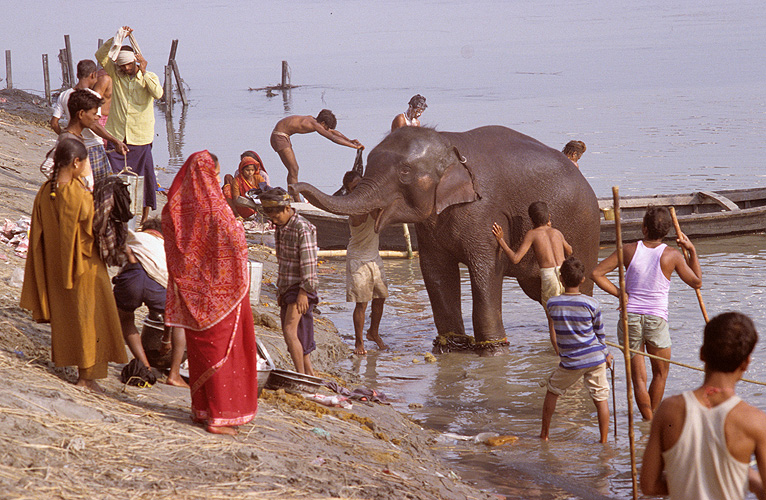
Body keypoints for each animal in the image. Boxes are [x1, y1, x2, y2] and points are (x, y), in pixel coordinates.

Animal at [292, 125, 600, 356]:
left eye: (405, 172)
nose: (293, 185)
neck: (451, 146)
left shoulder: (484, 211)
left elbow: (485, 272)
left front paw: (492, 350)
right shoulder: (432, 225)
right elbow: (436, 272)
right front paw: (452, 346)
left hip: (585, 232)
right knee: (540, 293)